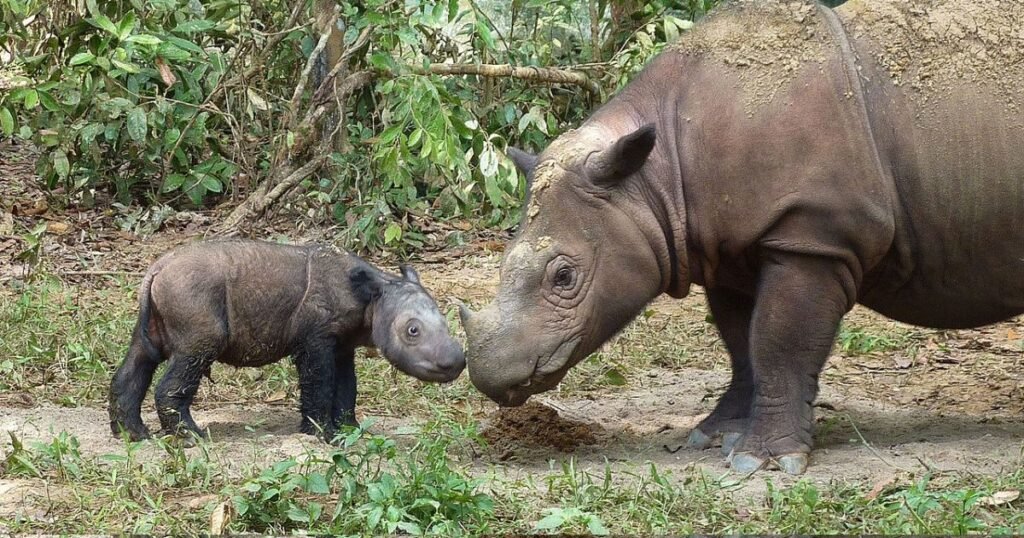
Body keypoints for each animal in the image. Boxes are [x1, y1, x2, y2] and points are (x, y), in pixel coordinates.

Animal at [109, 239, 465, 442]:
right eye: (412, 331)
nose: (457, 362)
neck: (373, 297)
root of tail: (155, 269)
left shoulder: (342, 344)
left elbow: (347, 387)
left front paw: (350, 431)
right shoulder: (315, 339)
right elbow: (320, 383)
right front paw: (323, 435)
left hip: (161, 302)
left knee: (141, 357)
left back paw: (132, 435)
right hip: (191, 296)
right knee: (194, 353)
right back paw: (191, 437)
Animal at [459, 0, 1024, 474]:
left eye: (564, 276)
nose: (488, 376)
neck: (653, 178)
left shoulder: (812, 236)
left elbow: (779, 339)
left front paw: (764, 462)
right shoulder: (725, 248)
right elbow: (740, 341)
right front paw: (715, 435)